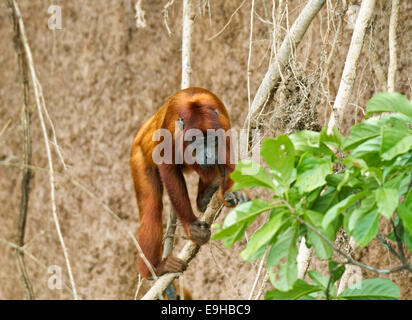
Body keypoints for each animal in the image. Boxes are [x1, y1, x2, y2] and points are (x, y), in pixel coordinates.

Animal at [131, 87, 248, 278]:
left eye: (212, 140)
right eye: (197, 141)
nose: (207, 154)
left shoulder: (223, 125)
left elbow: (228, 159)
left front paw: (234, 192)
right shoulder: (171, 131)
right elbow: (167, 169)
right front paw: (191, 226)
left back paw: (206, 197)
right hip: (138, 155)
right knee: (152, 210)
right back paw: (156, 270)